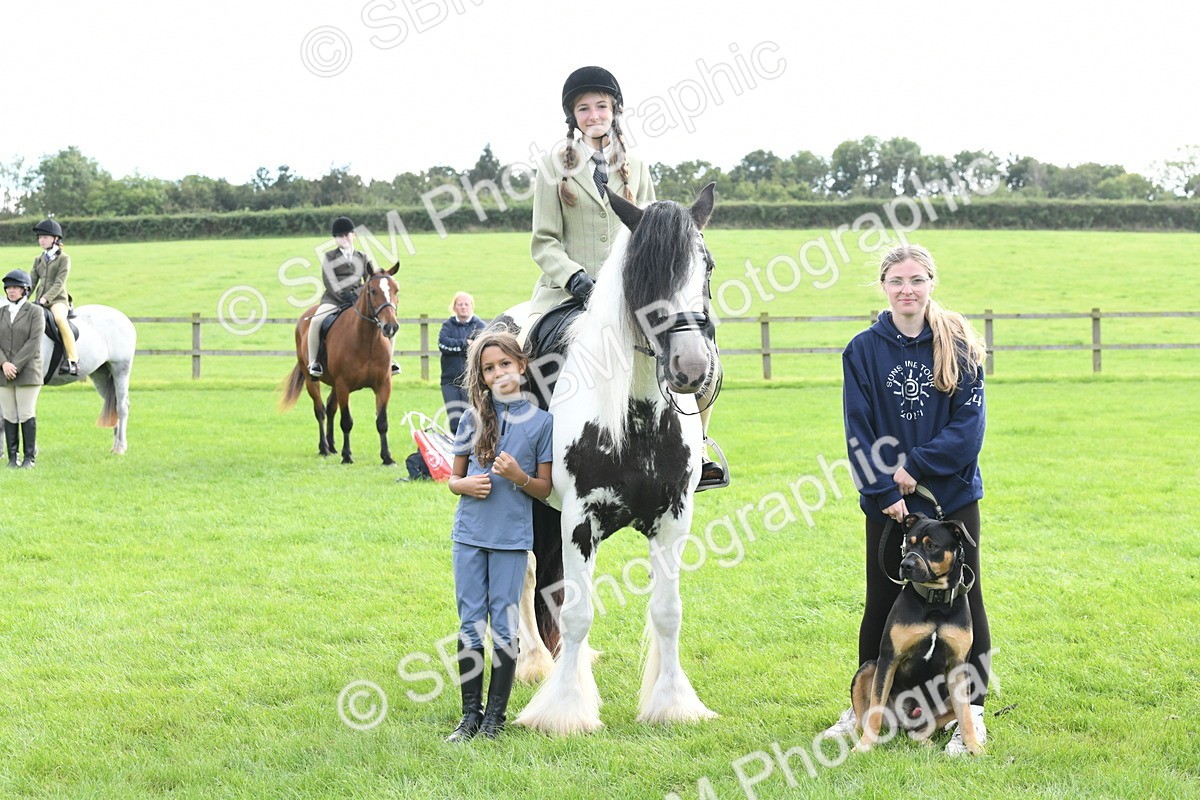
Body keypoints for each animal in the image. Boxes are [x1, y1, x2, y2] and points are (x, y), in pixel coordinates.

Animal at [39, 304, 137, 454]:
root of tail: (123, 318)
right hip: (101, 375)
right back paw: (115, 447)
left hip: (121, 370)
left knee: (121, 407)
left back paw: (120, 447)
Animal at [279, 266, 400, 465]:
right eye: (373, 291)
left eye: (396, 290)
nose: (390, 327)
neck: (367, 341)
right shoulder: (344, 385)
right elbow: (347, 421)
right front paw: (347, 456)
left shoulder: (383, 385)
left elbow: (382, 422)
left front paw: (387, 458)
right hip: (313, 381)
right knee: (320, 410)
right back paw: (324, 448)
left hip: (335, 385)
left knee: (330, 408)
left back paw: (332, 446)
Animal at [514, 183, 721, 735]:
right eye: (643, 275)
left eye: (707, 266)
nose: (691, 367)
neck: (639, 419)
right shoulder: (578, 519)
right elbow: (576, 613)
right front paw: (564, 710)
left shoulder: (674, 517)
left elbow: (668, 612)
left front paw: (671, 704)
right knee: (528, 578)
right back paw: (534, 662)